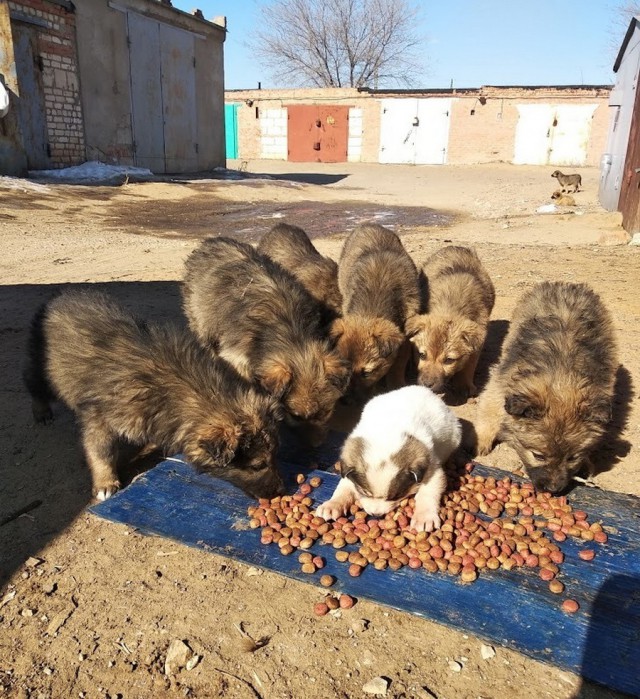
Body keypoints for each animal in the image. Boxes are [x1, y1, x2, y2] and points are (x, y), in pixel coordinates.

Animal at [181, 238, 350, 446]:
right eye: (296, 416)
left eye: (326, 412)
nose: (315, 444)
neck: (288, 329)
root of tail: (212, 241)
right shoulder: (236, 358)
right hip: (201, 324)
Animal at [316, 388, 460, 532]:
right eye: (365, 492)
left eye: (395, 496)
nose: (376, 514)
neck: (386, 432)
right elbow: (343, 488)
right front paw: (332, 505)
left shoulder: (432, 468)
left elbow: (428, 492)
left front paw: (424, 517)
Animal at [332, 224, 422, 400]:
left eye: (366, 373)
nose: (346, 401)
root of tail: (368, 224)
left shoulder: (405, 336)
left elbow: (397, 366)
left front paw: (396, 386)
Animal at [404, 245, 496, 400]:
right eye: (422, 355)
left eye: (449, 360)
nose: (427, 385)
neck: (450, 306)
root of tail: (455, 246)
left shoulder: (478, 338)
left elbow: (469, 364)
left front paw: (464, 384)